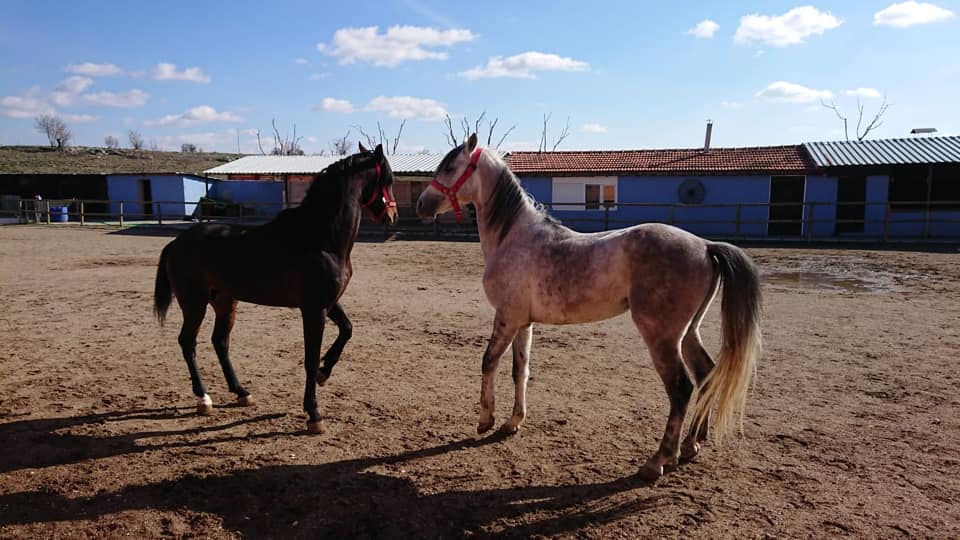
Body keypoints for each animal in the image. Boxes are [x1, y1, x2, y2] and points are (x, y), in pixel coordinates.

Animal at [153, 144, 398, 434]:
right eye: (389, 179)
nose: (393, 216)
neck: (319, 238)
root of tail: (176, 243)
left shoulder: (328, 303)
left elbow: (347, 330)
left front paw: (324, 373)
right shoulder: (313, 309)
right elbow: (310, 357)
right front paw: (314, 414)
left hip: (225, 302)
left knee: (220, 342)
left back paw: (242, 392)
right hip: (194, 303)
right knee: (188, 342)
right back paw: (203, 398)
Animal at [416, 135, 760, 480]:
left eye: (450, 167)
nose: (421, 205)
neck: (513, 236)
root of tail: (705, 246)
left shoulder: (506, 318)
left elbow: (488, 362)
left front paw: (485, 420)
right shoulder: (524, 323)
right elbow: (520, 371)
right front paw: (512, 422)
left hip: (662, 337)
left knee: (680, 389)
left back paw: (658, 460)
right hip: (689, 332)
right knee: (706, 375)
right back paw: (690, 444)